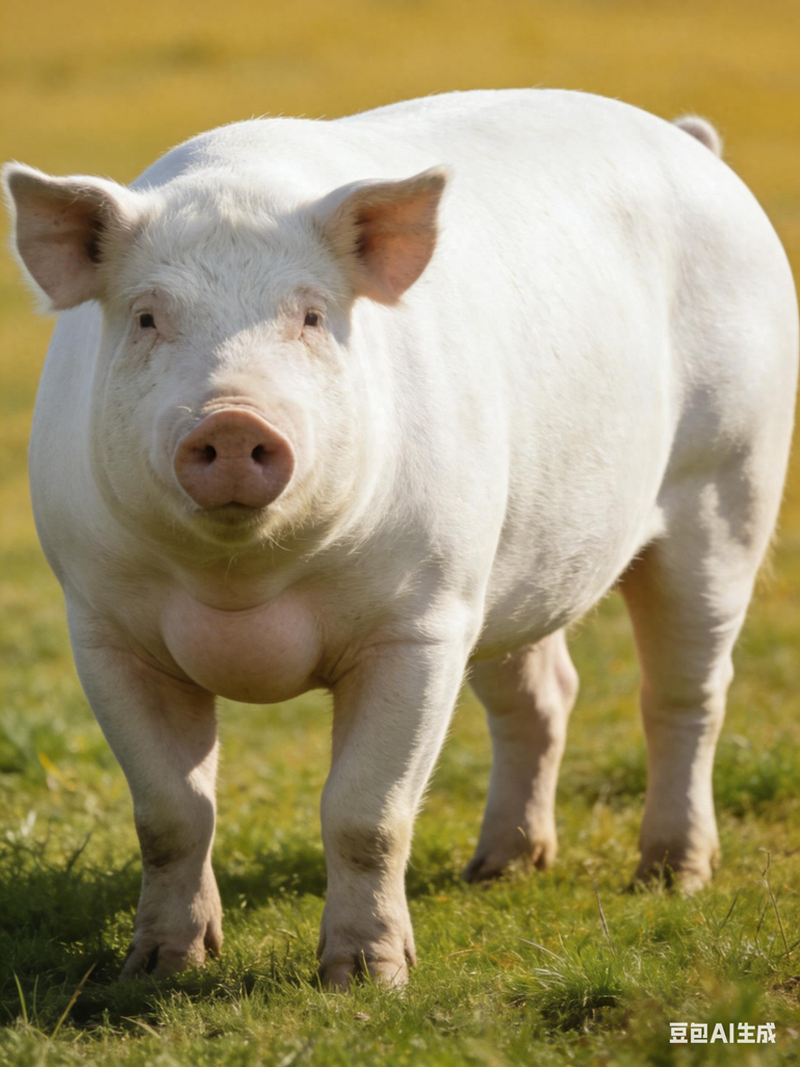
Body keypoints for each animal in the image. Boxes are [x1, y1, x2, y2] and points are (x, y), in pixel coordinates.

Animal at [3, 89, 797, 989]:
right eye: (146, 316)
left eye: (312, 315)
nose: (234, 420)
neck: (243, 581)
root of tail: (695, 144)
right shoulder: (103, 627)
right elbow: (170, 812)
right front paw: (160, 968)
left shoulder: (421, 620)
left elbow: (366, 810)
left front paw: (367, 978)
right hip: (507, 562)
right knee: (544, 694)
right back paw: (501, 869)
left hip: (730, 479)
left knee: (686, 691)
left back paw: (670, 876)